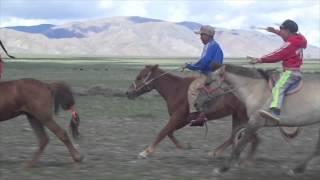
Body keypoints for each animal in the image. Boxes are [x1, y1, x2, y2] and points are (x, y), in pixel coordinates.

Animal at [125, 65, 260, 159]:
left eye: (140, 77)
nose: (127, 93)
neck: (175, 89)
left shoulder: (178, 117)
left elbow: (163, 132)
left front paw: (145, 152)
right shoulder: (183, 120)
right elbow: (169, 133)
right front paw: (185, 146)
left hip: (243, 116)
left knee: (249, 136)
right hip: (237, 115)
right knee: (235, 135)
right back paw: (215, 152)